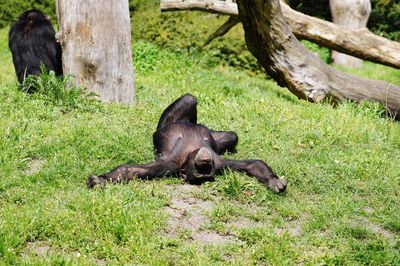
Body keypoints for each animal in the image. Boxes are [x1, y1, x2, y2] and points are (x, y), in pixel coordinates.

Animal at [88, 94, 288, 192]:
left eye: (207, 170)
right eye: (200, 168)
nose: (205, 160)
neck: (191, 152)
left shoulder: (221, 163)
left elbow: (252, 165)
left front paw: (273, 181)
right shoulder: (167, 164)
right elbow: (130, 170)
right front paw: (101, 180)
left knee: (232, 136)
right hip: (168, 122)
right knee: (189, 100)